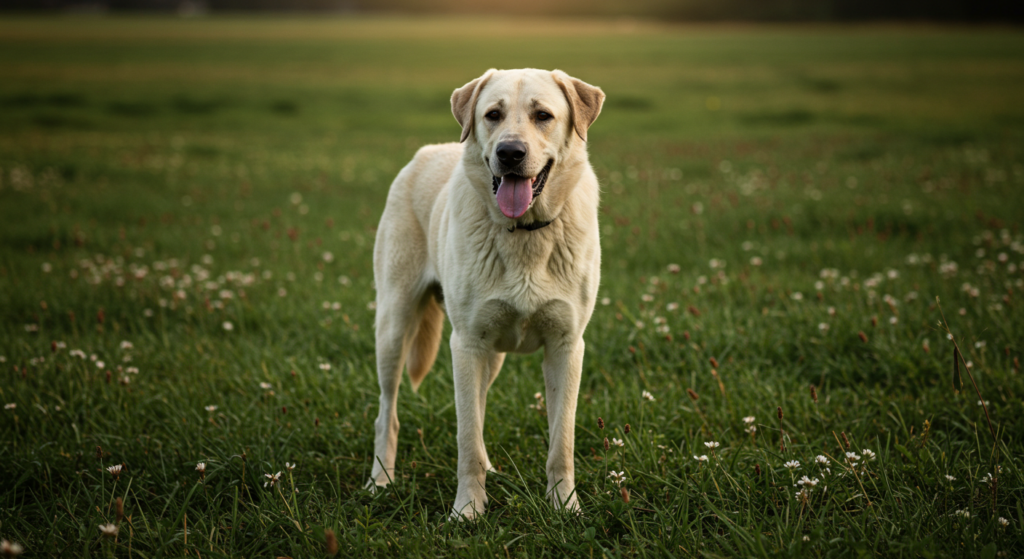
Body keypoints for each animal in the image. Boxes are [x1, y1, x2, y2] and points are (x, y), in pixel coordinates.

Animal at [368, 68, 602, 518]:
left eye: (543, 115)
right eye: (493, 114)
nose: (510, 153)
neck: (525, 232)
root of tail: (425, 153)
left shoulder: (566, 346)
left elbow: (560, 441)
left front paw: (564, 505)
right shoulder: (467, 345)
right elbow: (466, 440)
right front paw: (467, 511)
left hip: (489, 356)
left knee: (477, 406)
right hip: (394, 327)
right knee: (387, 413)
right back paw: (379, 481)